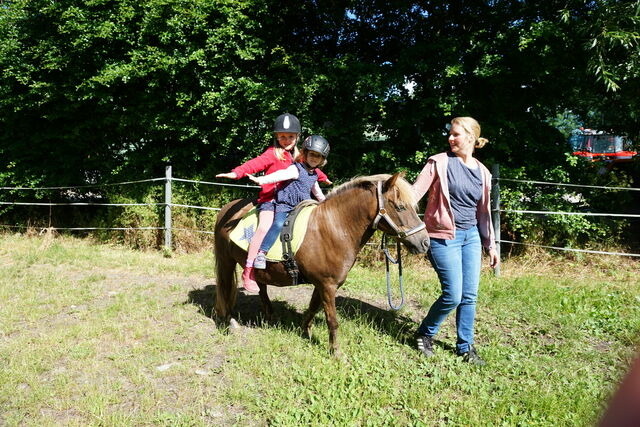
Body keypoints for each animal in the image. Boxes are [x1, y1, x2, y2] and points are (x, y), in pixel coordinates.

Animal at [215, 172, 430, 356]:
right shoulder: (328, 285)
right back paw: (229, 322)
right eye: (401, 207)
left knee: (261, 288)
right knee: (225, 288)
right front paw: (336, 353)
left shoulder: (322, 284)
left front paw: (306, 332)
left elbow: (312, 308)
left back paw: (269, 316)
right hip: (226, 261)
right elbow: (332, 320)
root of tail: (227, 209)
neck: (333, 228)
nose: (425, 242)